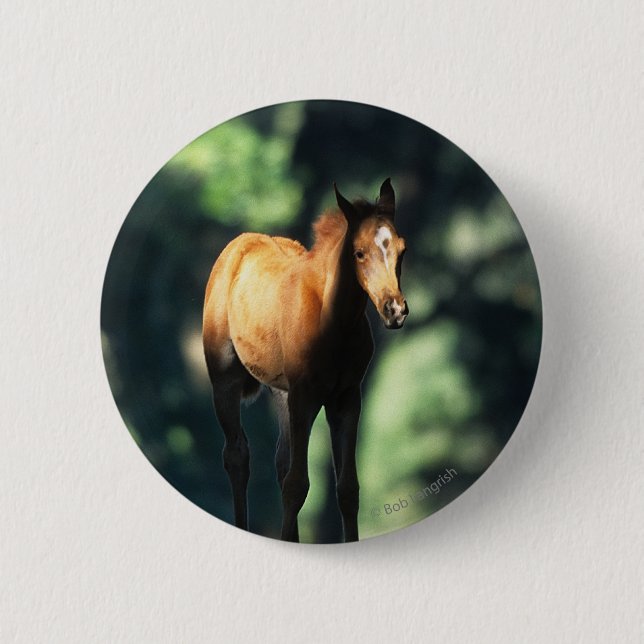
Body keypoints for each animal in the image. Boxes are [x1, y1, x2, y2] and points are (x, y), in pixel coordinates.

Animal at [202, 178, 408, 542]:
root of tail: (237, 245)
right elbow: (297, 485)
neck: (335, 325)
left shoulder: (346, 398)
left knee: (281, 461)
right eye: (359, 252)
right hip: (225, 380)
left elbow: (347, 489)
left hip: (281, 392)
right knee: (237, 455)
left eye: (402, 249)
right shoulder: (305, 395)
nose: (394, 310)